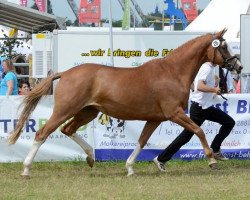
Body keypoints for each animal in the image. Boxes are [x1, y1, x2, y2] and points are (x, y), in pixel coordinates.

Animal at [8, 28, 242, 177]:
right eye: (224, 47)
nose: (238, 67)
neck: (172, 72)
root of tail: (65, 73)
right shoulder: (174, 113)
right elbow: (198, 130)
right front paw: (212, 160)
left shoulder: (155, 118)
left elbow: (141, 141)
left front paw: (130, 168)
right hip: (65, 110)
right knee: (43, 133)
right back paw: (26, 169)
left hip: (88, 112)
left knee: (68, 130)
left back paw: (91, 157)